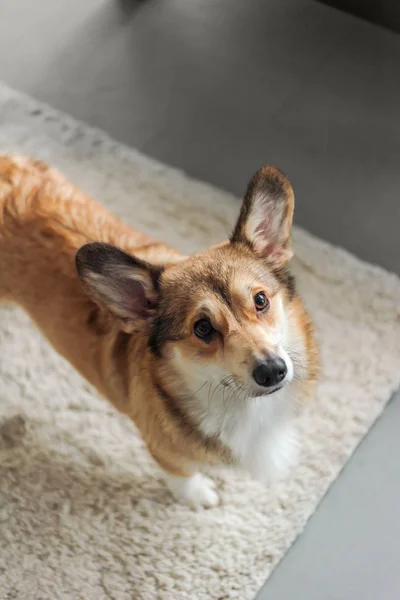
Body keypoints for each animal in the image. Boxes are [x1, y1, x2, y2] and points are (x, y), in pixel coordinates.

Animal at [0, 154, 318, 506]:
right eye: (203, 328)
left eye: (261, 300)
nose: (273, 370)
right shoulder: (164, 452)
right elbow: (182, 476)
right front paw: (200, 496)